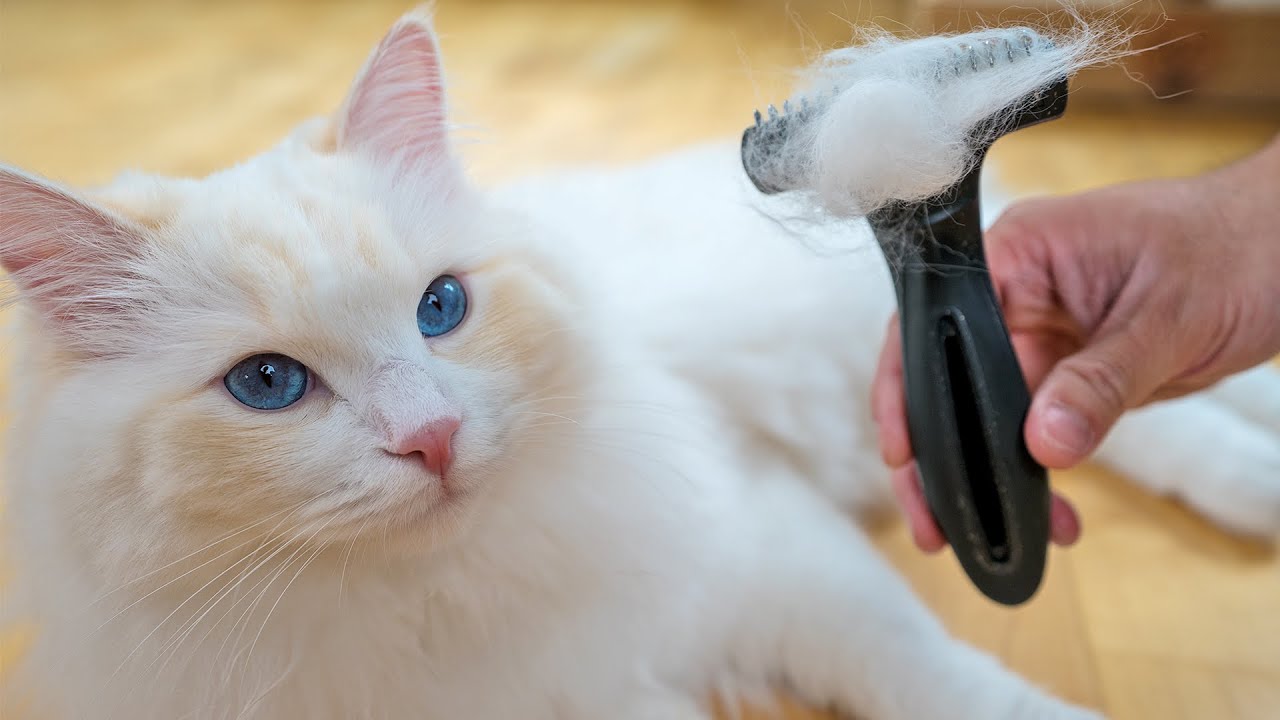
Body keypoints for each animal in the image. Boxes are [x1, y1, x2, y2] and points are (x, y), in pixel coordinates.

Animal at [2, 9, 1280, 717]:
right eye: (265, 386)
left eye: (440, 308)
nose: (431, 439)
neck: (430, 606)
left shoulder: (763, 550)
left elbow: (932, 676)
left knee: (1157, 401)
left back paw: (1254, 491)